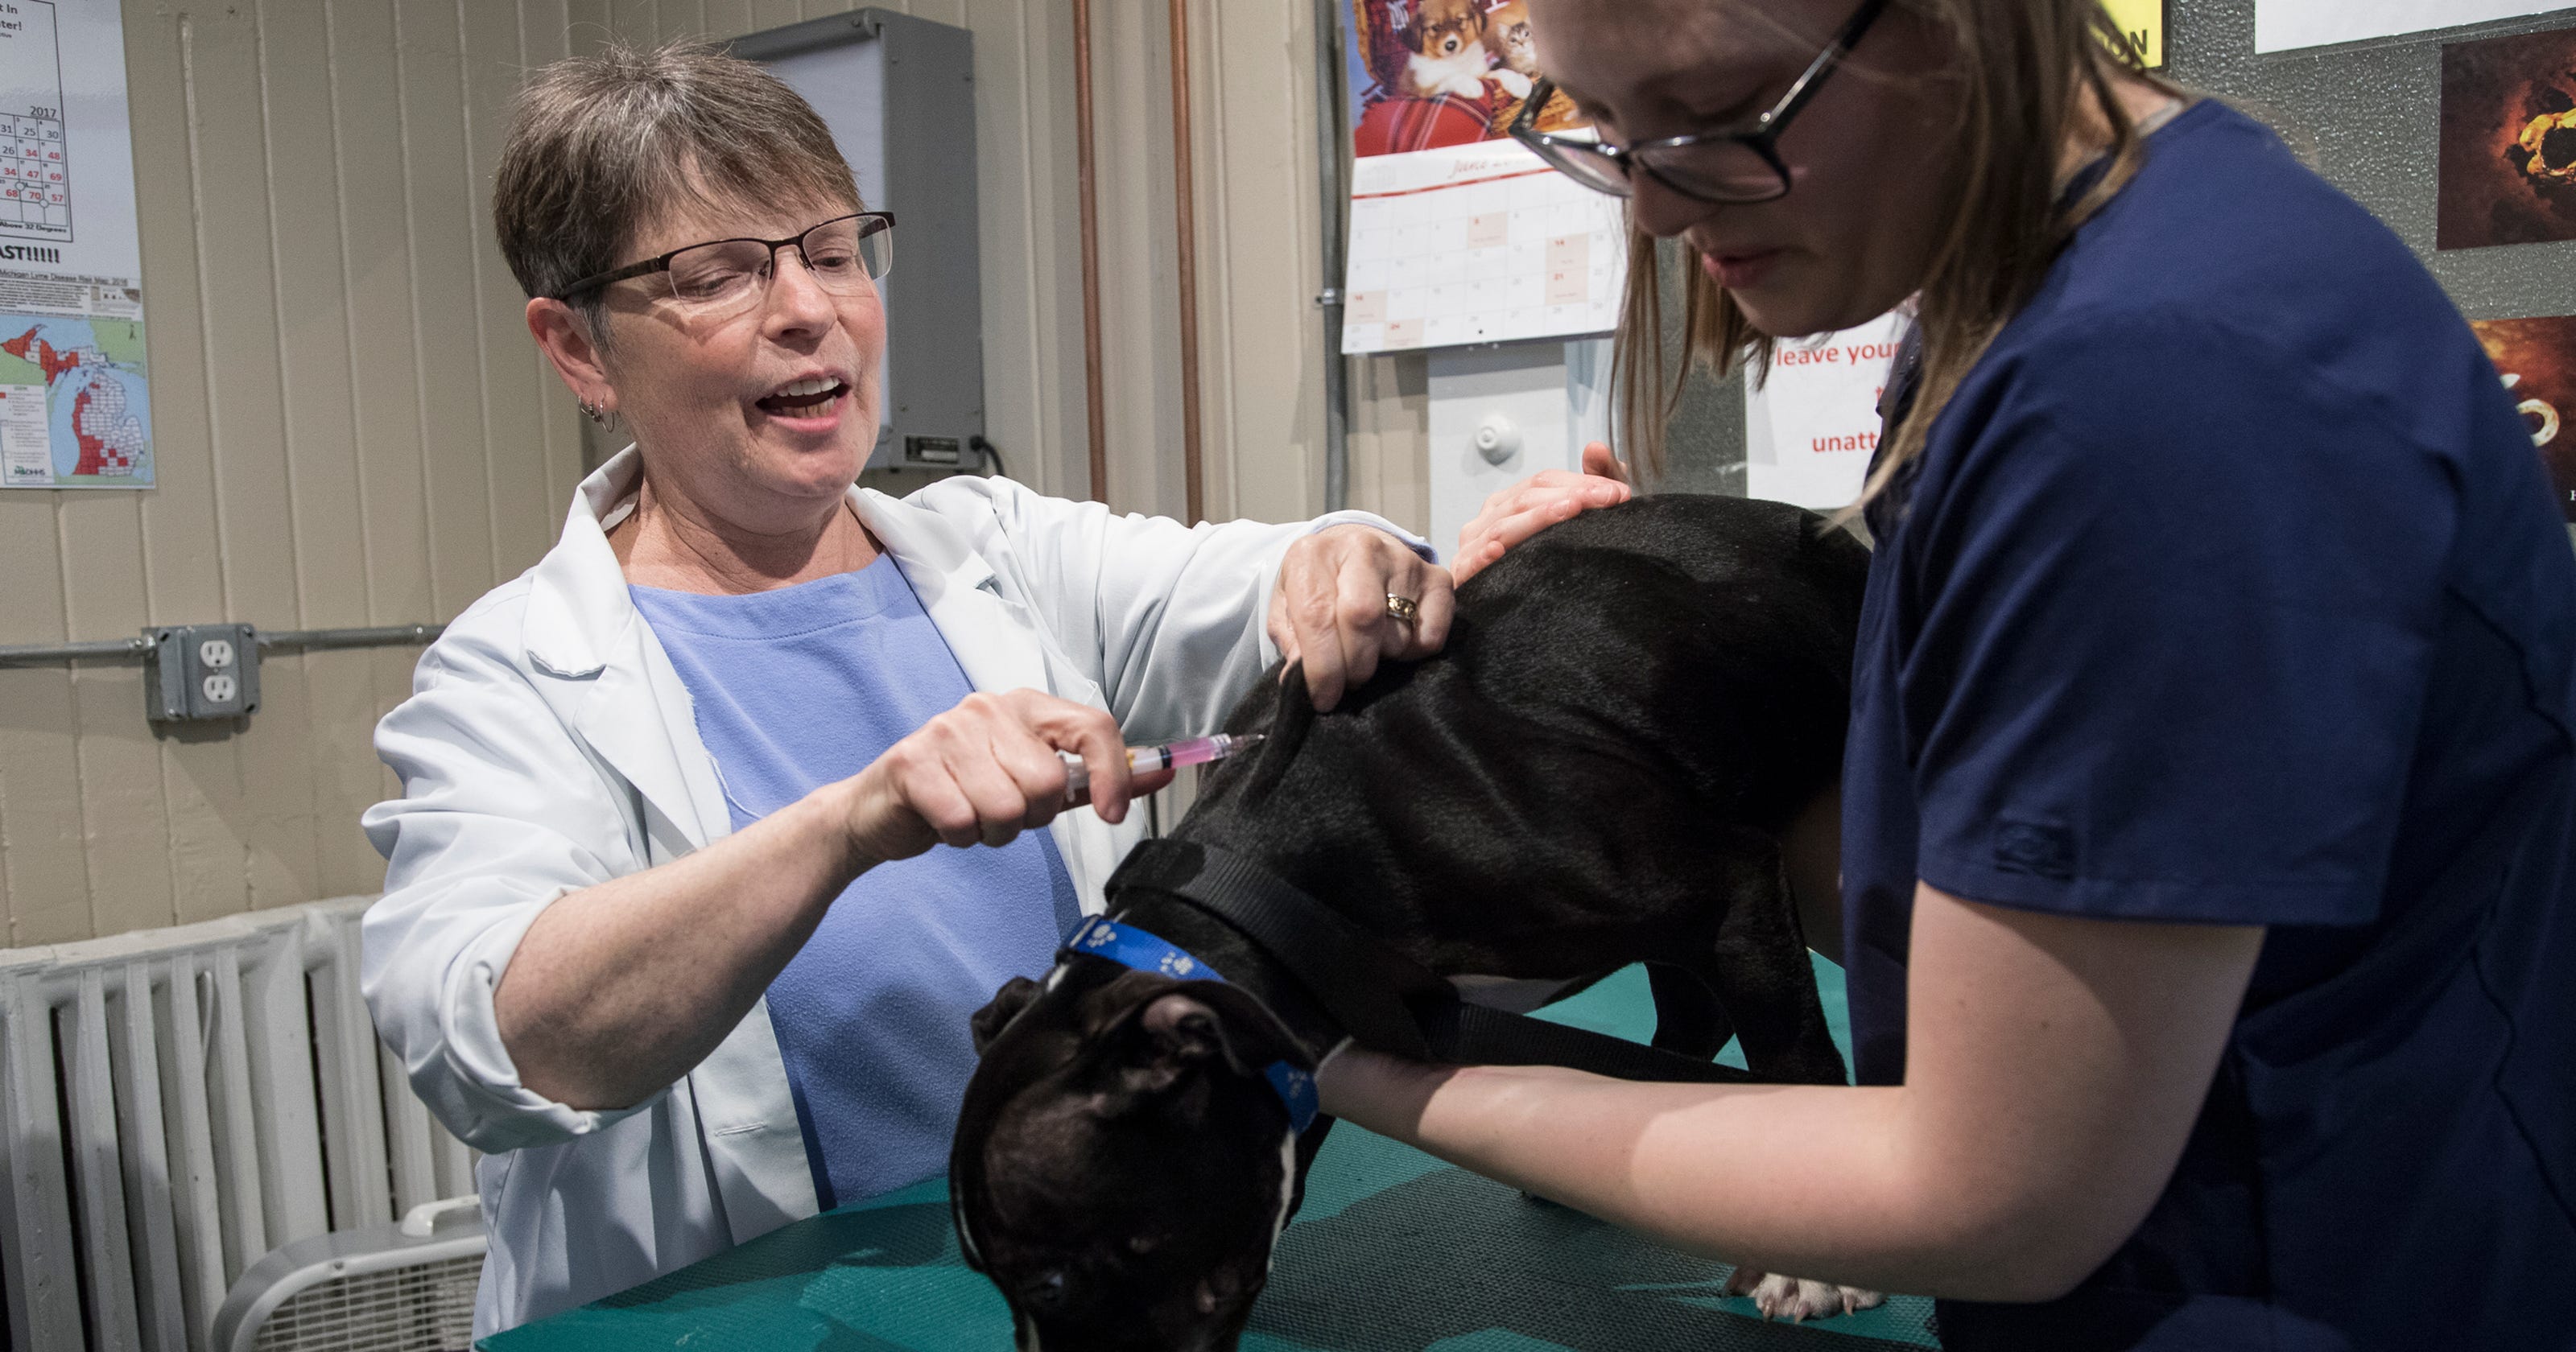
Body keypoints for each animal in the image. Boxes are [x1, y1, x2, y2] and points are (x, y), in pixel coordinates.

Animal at [958, 497, 1885, 1349]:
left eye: (1048, 1282)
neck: (1253, 878)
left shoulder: (1730, 882)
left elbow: (1793, 1055)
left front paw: (1811, 1267)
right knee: (1692, 1015)